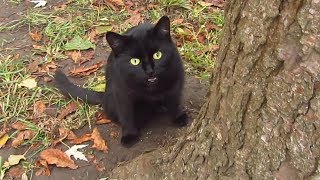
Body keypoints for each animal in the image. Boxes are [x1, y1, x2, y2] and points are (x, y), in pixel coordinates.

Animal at [53, 15, 186, 146]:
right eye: (134, 61)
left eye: (157, 55)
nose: (150, 71)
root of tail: (104, 96)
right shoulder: (121, 92)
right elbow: (126, 115)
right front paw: (129, 135)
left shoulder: (176, 80)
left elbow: (174, 101)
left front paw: (178, 117)